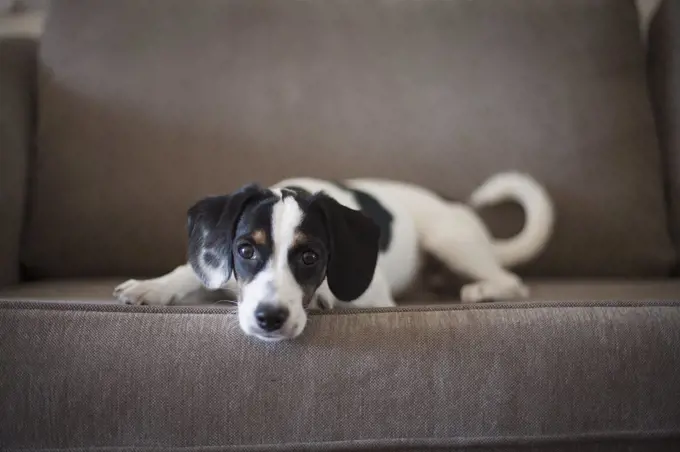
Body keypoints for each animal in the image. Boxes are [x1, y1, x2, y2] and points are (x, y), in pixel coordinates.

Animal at [115, 174, 552, 342]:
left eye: (311, 256)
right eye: (245, 251)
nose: (269, 318)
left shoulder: (375, 297)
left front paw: (325, 296)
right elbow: (193, 272)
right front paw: (153, 286)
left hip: (450, 239)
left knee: (511, 281)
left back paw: (482, 290)